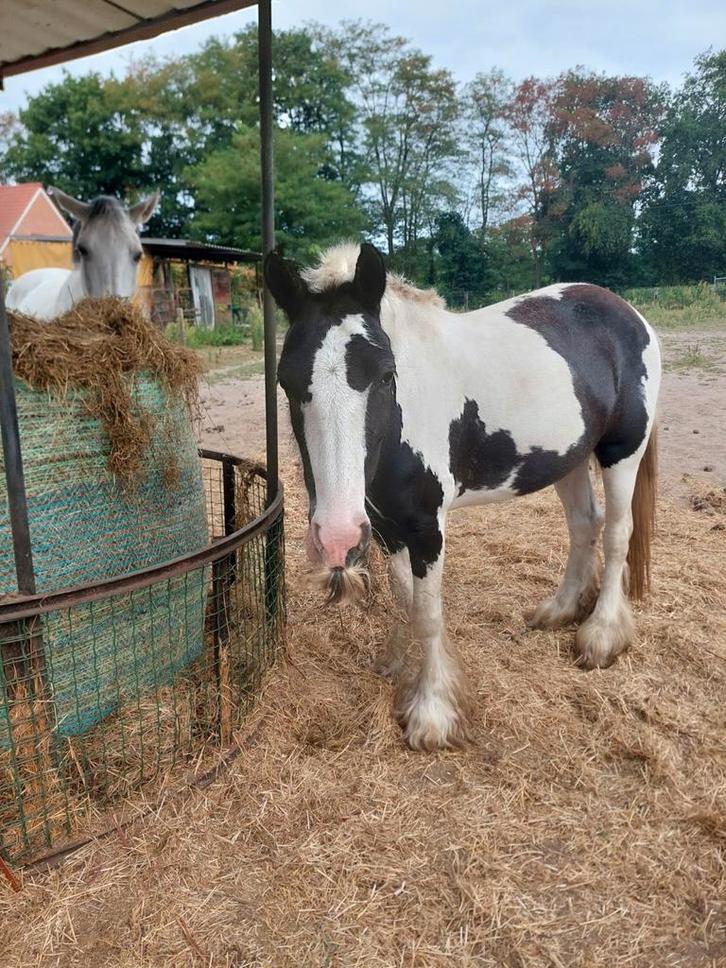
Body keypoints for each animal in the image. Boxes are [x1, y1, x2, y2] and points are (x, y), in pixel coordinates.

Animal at [265, 242, 661, 751]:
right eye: (285, 381)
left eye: (385, 375)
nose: (335, 537)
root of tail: (627, 311)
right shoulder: (388, 525)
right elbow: (407, 600)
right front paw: (398, 664)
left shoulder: (427, 528)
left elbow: (429, 613)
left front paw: (432, 713)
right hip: (567, 457)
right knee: (583, 525)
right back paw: (558, 611)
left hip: (621, 451)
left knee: (616, 533)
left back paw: (601, 636)